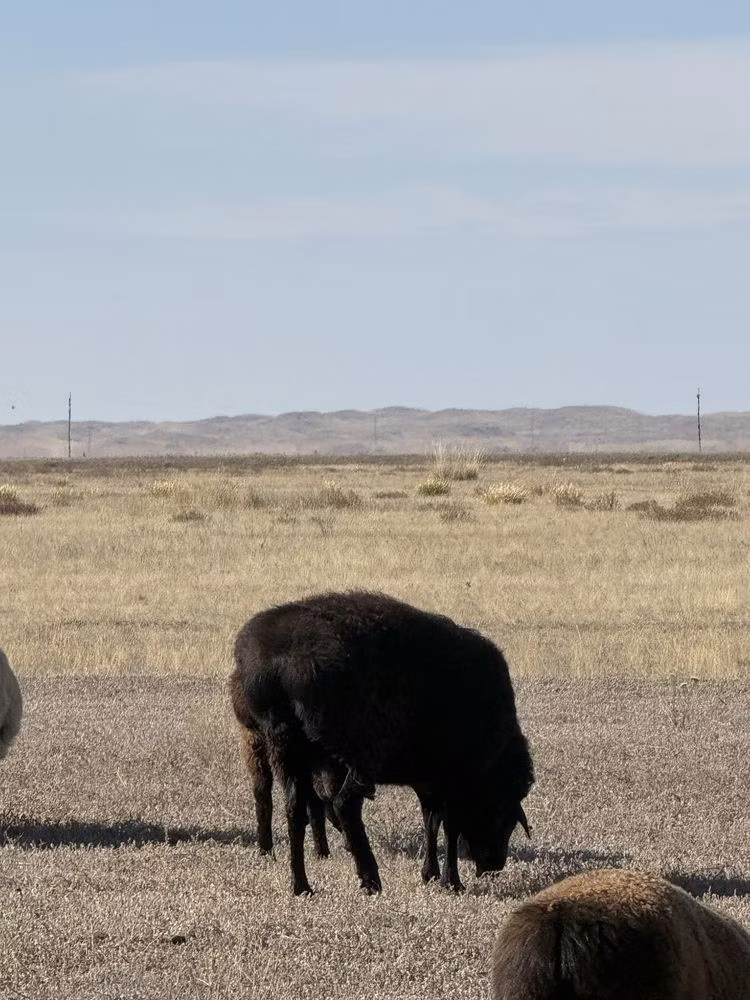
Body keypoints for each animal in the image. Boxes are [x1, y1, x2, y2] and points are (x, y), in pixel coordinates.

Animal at [230, 590, 533, 895]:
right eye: (502, 816)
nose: (493, 866)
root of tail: (277, 664)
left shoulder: (429, 780)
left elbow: (431, 820)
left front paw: (431, 874)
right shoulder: (455, 778)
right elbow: (449, 826)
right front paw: (452, 881)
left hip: (287, 746)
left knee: (295, 810)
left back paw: (301, 884)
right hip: (361, 752)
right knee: (344, 805)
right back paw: (370, 878)